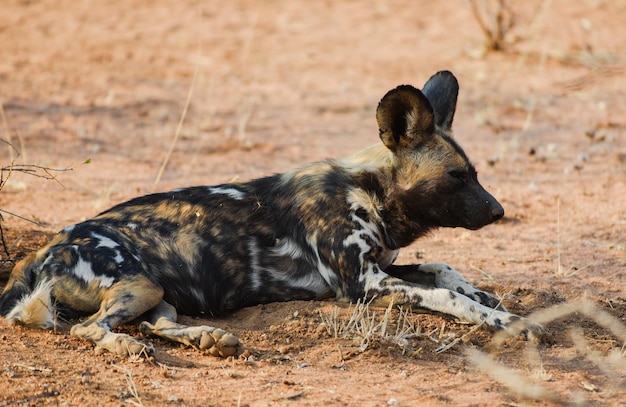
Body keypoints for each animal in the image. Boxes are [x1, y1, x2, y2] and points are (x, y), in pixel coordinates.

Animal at [0, 71, 536, 358]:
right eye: (457, 177)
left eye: (475, 172)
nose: (499, 211)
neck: (368, 191)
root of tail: (44, 248)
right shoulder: (363, 285)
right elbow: (448, 298)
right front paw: (501, 318)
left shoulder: (382, 266)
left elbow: (445, 269)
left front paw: (488, 296)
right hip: (137, 283)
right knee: (91, 329)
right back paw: (131, 347)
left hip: (155, 290)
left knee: (156, 325)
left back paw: (209, 338)